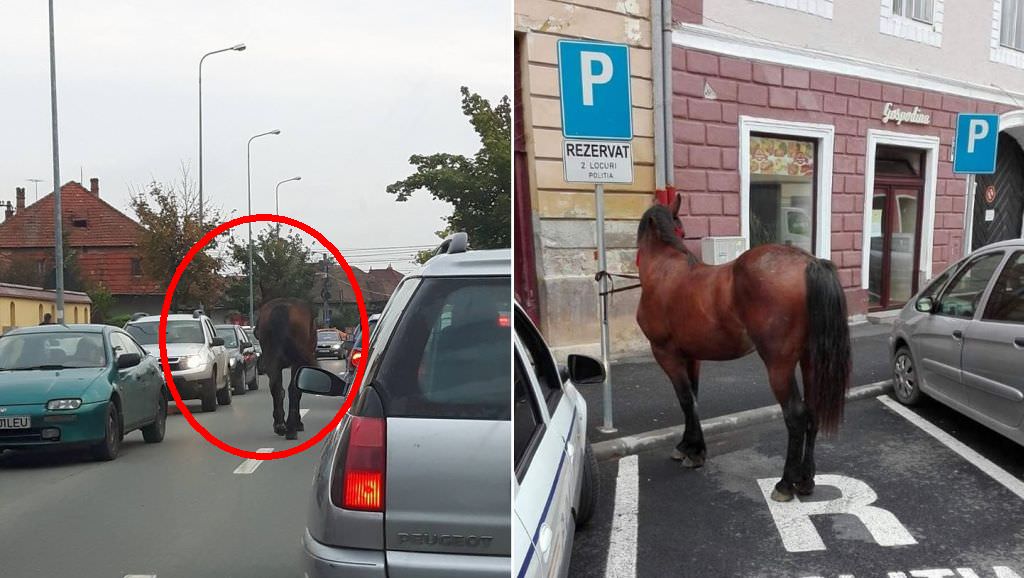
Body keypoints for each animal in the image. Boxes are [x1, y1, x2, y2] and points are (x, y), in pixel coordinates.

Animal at [252, 297, 315, 438]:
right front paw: (298, 423)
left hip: (273, 362)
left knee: (276, 388)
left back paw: (280, 425)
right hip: (297, 362)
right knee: (293, 389)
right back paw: (291, 428)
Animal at [634, 193, 851, 502]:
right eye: (682, 231)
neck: (664, 269)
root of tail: (809, 262)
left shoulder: (665, 354)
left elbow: (686, 400)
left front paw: (692, 452)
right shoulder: (692, 357)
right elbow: (693, 400)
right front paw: (691, 447)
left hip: (779, 365)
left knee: (796, 416)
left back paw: (786, 483)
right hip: (810, 360)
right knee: (812, 411)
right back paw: (806, 480)